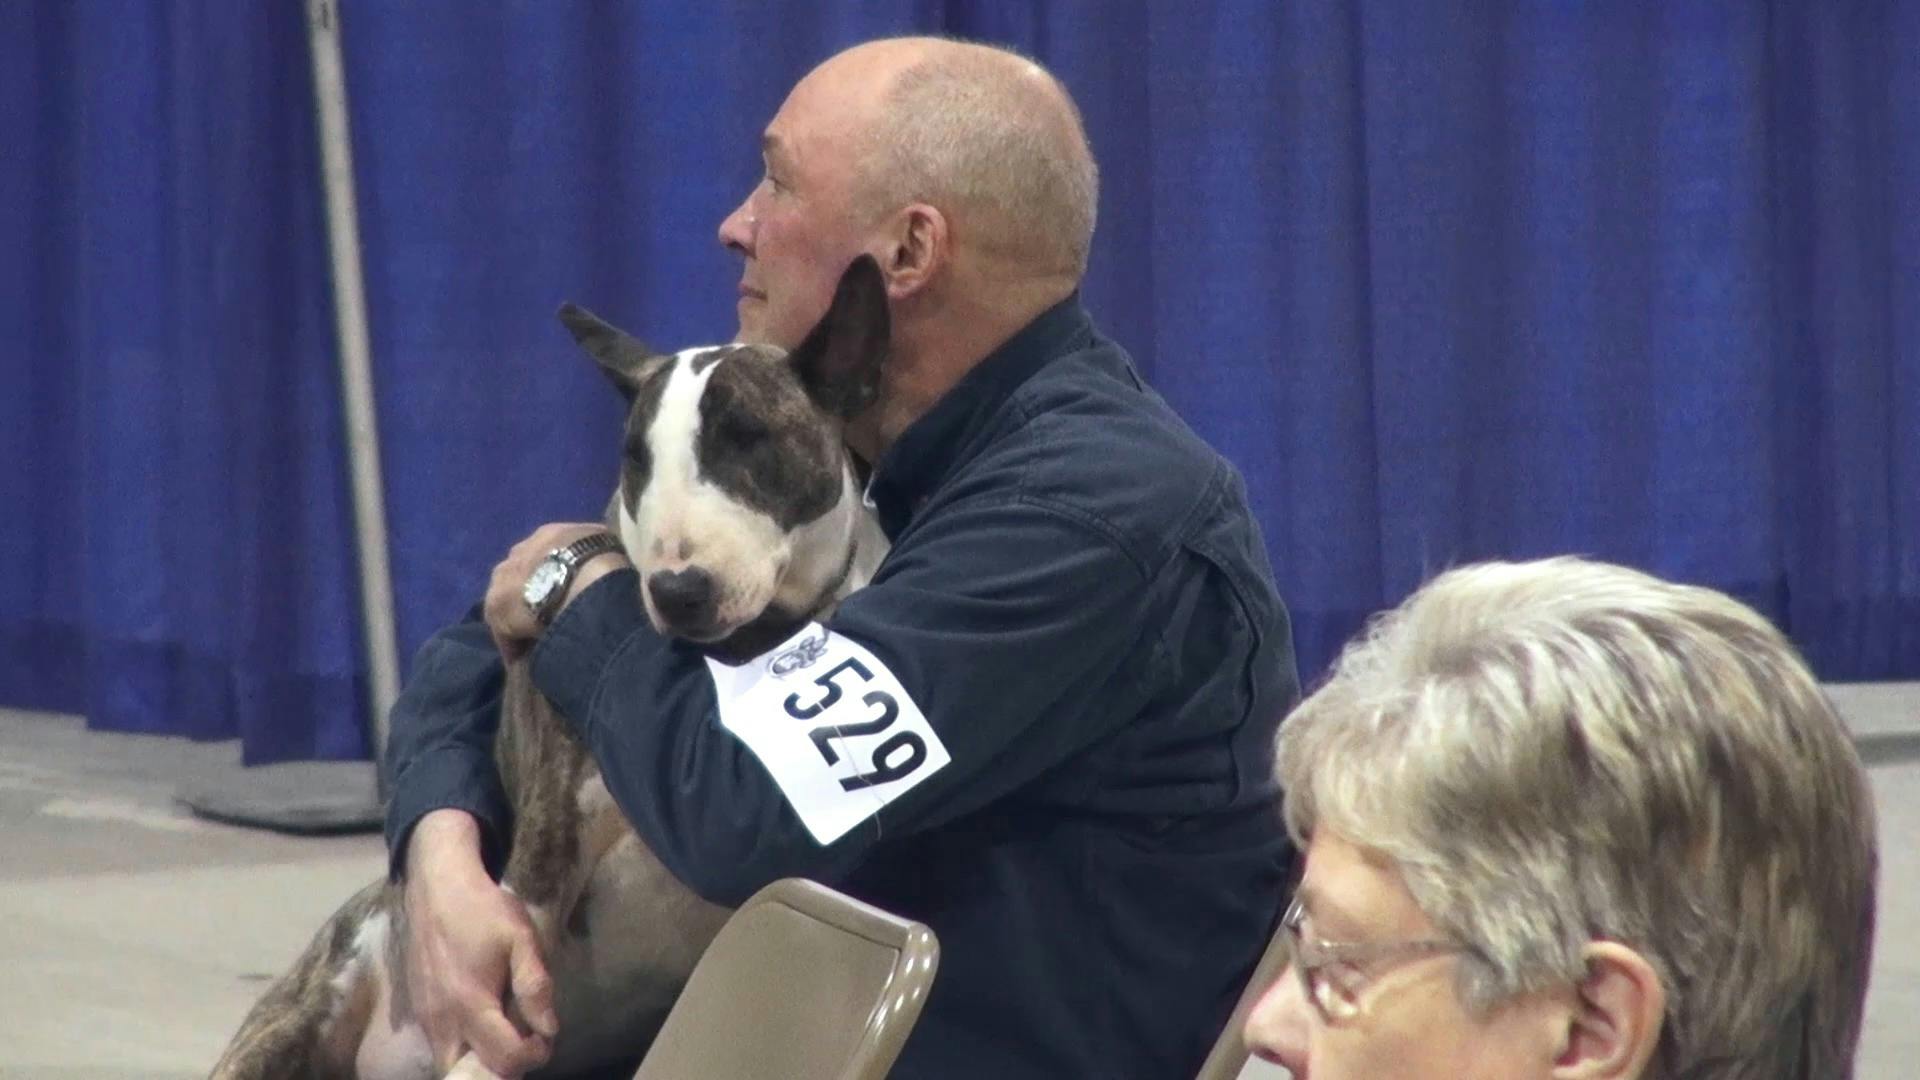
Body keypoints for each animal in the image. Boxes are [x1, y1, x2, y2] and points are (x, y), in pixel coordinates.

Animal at [210, 259, 890, 1076]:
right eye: (636, 459)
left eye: (749, 437)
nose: (678, 592)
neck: (722, 661)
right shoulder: (545, 852)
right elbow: (499, 1003)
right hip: (303, 1014)